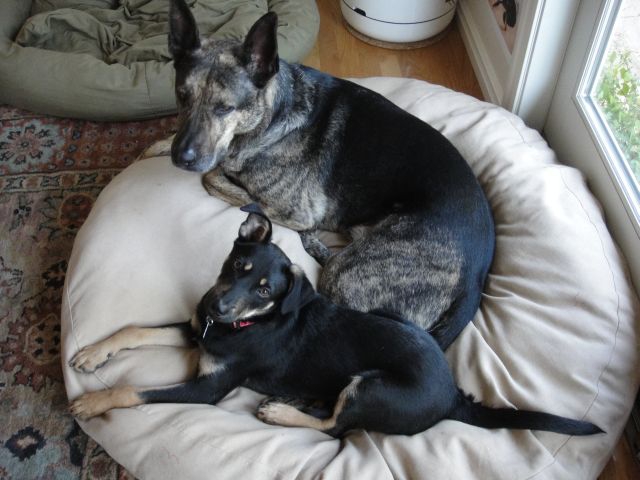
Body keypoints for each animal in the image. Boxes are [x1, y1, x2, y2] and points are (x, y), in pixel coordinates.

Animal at [71, 206, 604, 438]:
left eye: (265, 290)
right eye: (237, 263)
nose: (216, 307)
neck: (241, 327)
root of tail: (453, 395)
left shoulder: (208, 389)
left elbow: (133, 391)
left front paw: (93, 402)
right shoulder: (195, 327)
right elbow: (135, 329)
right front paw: (91, 354)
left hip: (369, 386)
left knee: (335, 428)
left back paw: (283, 412)